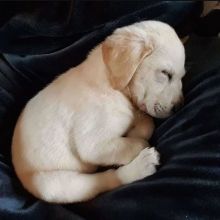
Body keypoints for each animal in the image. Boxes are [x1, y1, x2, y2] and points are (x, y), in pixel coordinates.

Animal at [11, 20, 184, 203]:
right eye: (165, 73)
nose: (179, 106)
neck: (111, 84)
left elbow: (147, 123)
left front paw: (133, 130)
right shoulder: (93, 144)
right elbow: (136, 143)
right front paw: (134, 141)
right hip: (53, 184)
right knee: (105, 179)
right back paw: (140, 167)